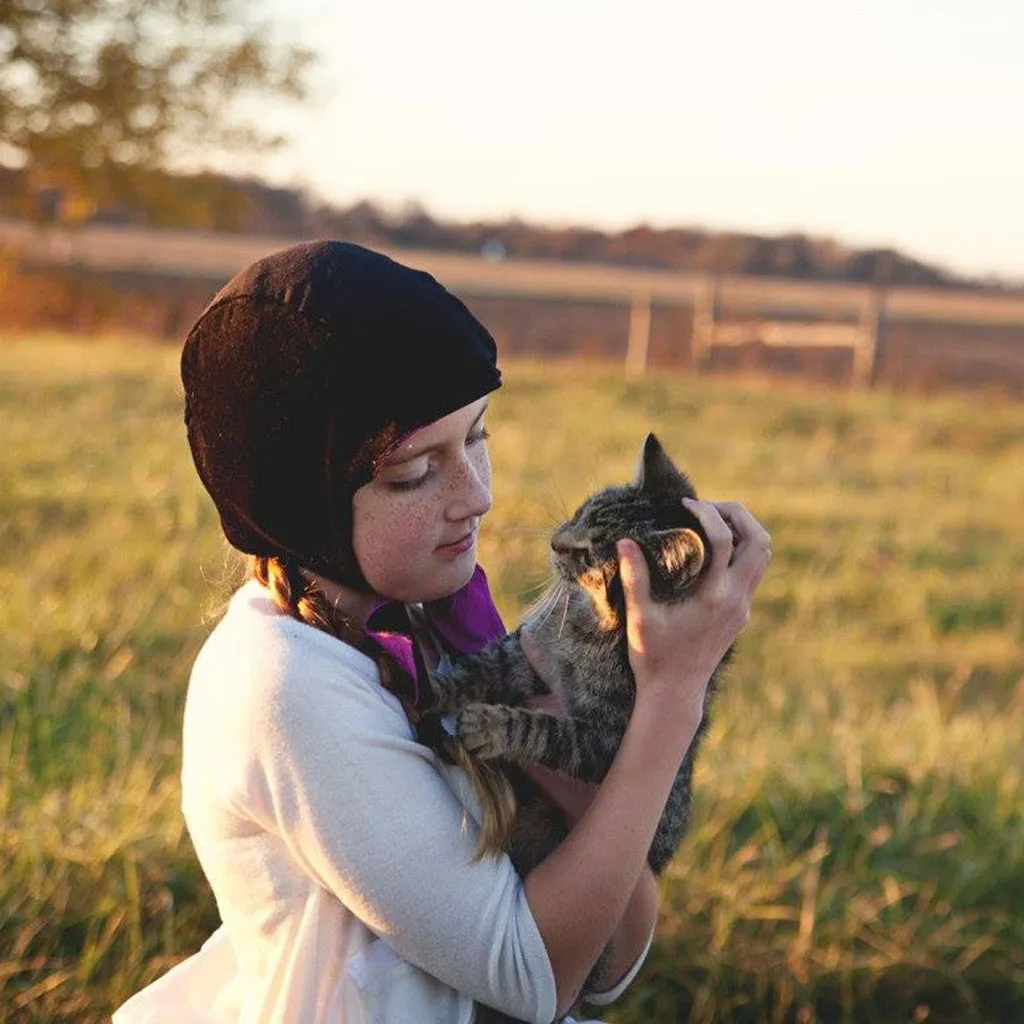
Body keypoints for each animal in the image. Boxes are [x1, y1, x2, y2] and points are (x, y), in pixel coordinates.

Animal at [428, 434, 733, 1024]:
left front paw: (492, 724)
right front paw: (439, 685)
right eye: (579, 513)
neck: (591, 630)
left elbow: (548, 730)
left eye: (591, 553)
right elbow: (485, 662)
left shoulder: (609, 739)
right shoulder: (527, 652)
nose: (554, 540)